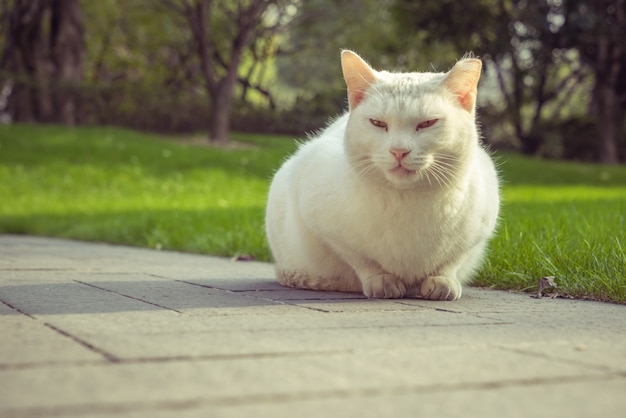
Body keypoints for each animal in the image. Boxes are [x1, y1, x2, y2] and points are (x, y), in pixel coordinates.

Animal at [264, 51, 498, 300]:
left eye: (427, 123)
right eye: (377, 123)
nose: (399, 151)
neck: (408, 203)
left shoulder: (479, 230)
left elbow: (452, 260)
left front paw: (442, 280)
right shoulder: (322, 222)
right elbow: (360, 259)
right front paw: (382, 280)